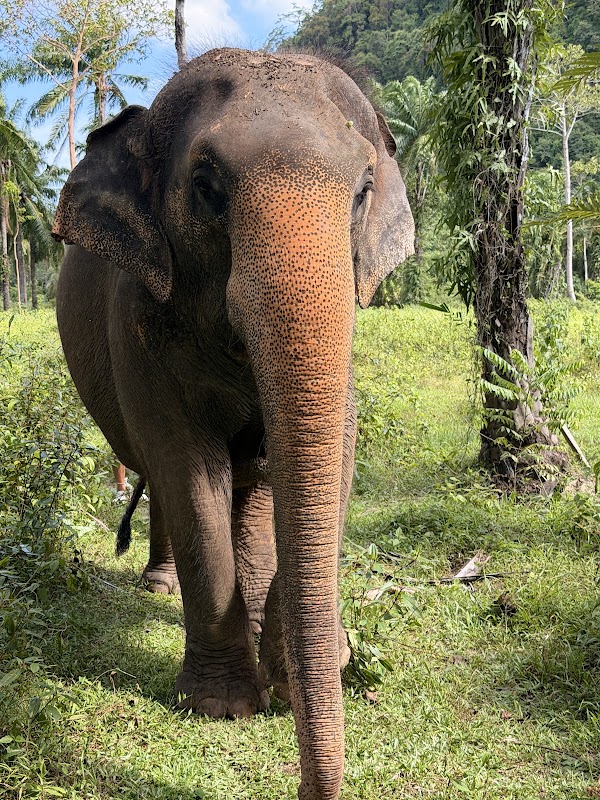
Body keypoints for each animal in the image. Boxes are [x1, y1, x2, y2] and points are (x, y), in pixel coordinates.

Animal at [53, 48, 414, 800]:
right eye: (205, 187)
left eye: (364, 188)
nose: (309, 788)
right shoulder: (140, 317)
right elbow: (189, 468)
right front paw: (222, 705)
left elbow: (333, 451)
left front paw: (293, 664)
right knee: (171, 479)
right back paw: (162, 585)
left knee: (250, 491)